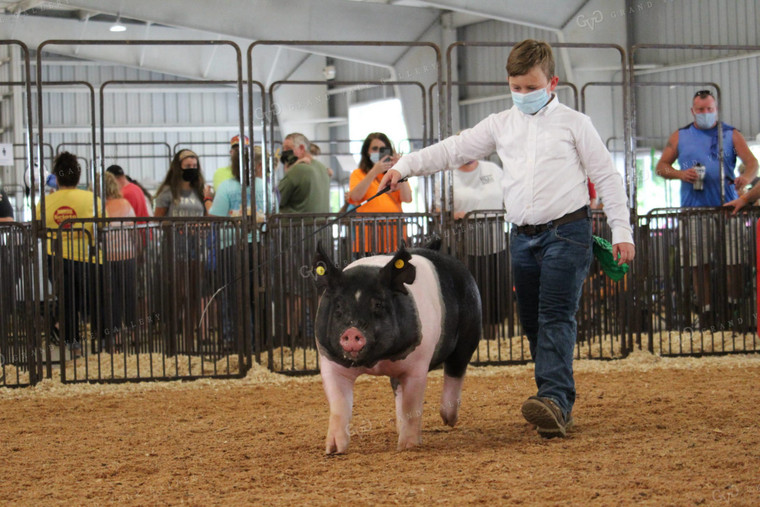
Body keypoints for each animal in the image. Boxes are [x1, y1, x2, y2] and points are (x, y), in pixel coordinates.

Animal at [314, 242, 480, 456]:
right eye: (339, 306)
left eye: (378, 304)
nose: (352, 331)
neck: (376, 360)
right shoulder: (330, 362)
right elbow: (339, 405)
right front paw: (333, 450)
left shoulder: (418, 364)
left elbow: (411, 406)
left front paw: (408, 447)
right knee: (397, 387)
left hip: (470, 331)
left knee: (456, 369)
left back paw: (448, 419)